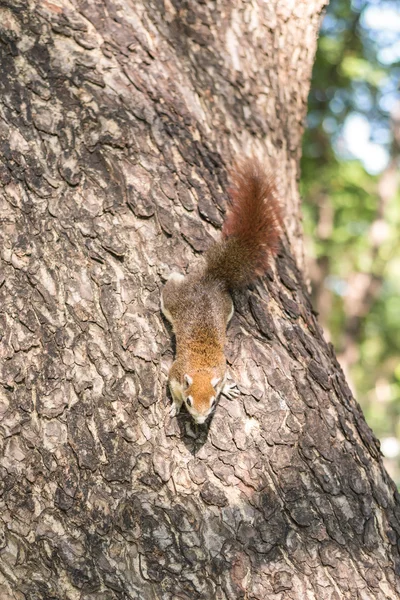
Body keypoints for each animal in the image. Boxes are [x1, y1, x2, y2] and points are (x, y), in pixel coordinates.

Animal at [160, 157, 282, 424]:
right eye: (189, 401)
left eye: (213, 403)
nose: (199, 421)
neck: (202, 368)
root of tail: (211, 281)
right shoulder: (175, 374)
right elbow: (172, 390)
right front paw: (174, 406)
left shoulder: (221, 370)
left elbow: (224, 381)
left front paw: (226, 389)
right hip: (172, 301)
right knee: (171, 287)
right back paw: (167, 273)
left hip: (227, 308)